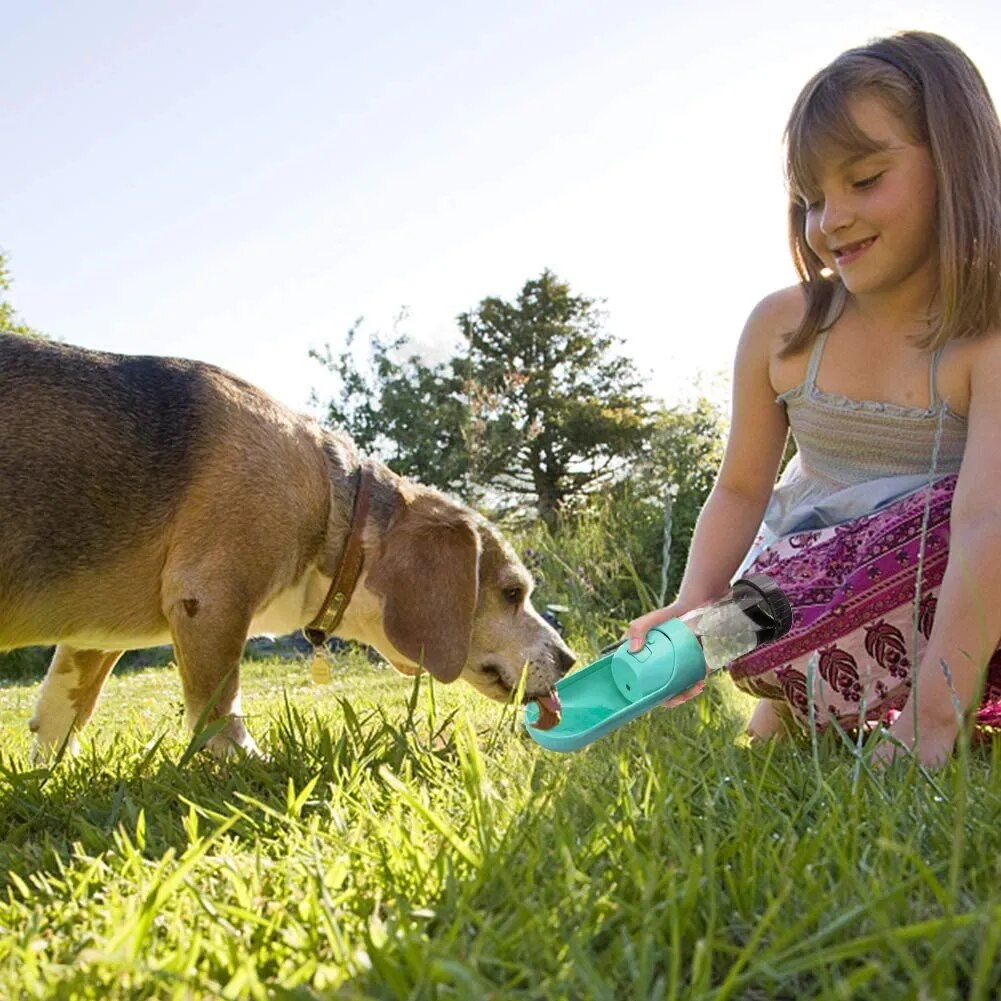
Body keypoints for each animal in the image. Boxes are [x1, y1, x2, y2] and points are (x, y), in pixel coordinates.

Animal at [0, 332, 572, 752]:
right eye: (512, 593)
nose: (568, 659)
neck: (331, 497)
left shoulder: (93, 636)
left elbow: (62, 710)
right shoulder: (210, 601)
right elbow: (219, 710)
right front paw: (244, 769)